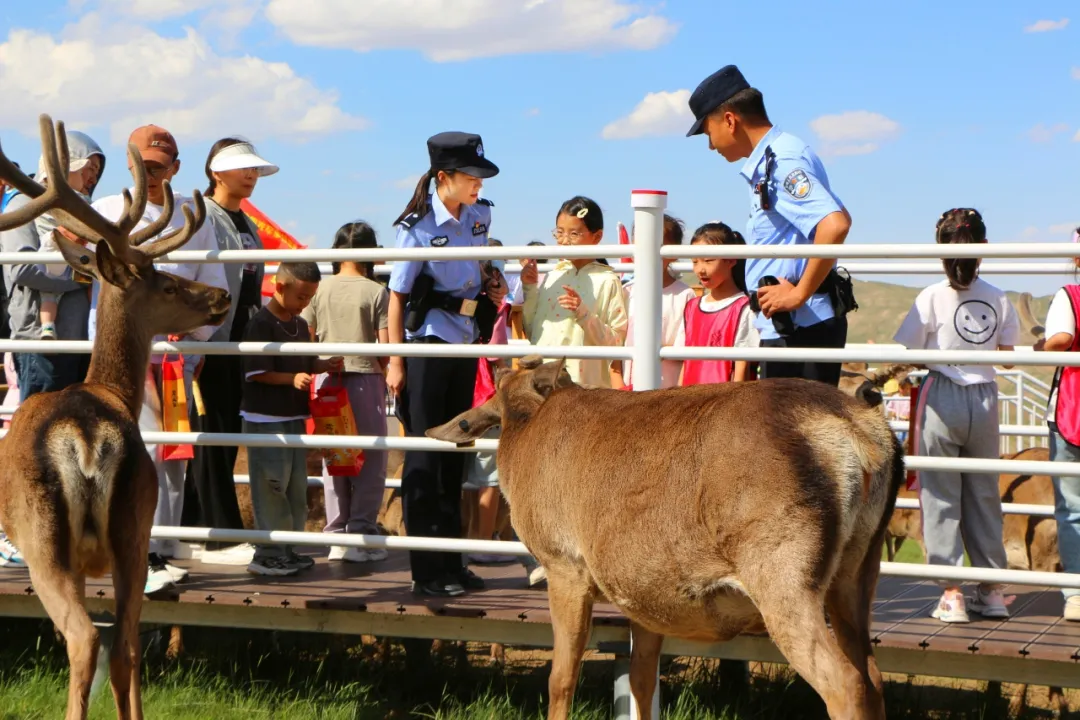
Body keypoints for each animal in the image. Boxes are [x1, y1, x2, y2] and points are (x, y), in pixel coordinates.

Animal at [0, 113, 234, 720]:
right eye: (168, 283)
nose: (220, 298)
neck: (111, 391)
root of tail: (85, 438)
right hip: (125, 520)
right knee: (116, 639)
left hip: (58, 536)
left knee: (93, 639)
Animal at [427, 356, 902, 720]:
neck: (524, 431)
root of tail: (862, 437)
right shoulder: (643, 591)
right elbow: (641, 680)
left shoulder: (564, 563)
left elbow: (562, 679)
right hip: (857, 573)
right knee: (874, 678)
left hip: (784, 574)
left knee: (845, 683)